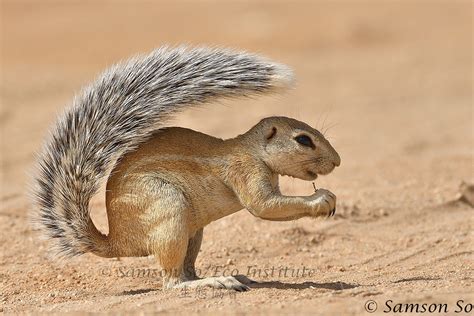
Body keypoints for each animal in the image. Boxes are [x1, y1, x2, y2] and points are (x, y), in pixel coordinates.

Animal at [32, 46, 340, 292]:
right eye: (303, 140)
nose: (337, 161)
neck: (253, 150)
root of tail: (118, 241)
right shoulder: (245, 171)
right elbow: (264, 206)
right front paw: (321, 200)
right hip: (169, 211)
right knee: (172, 283)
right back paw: (213, 282)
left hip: (194, 231)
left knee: (186, 269)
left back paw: (228, 277)